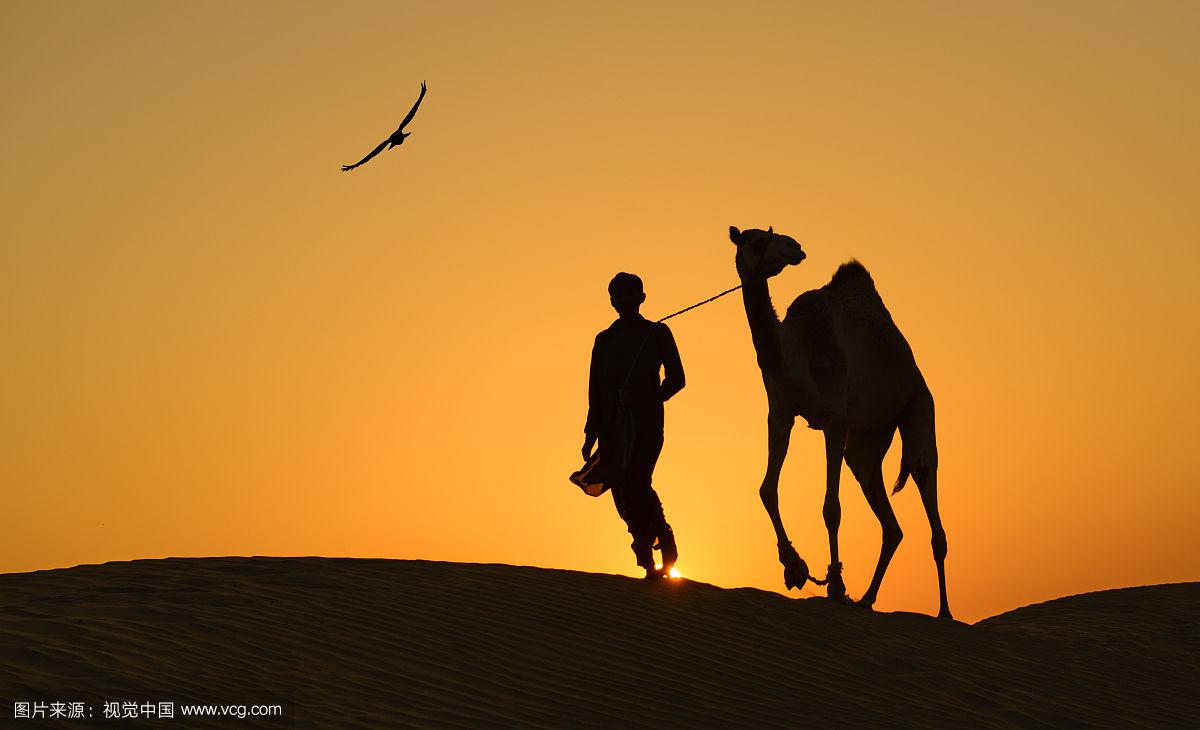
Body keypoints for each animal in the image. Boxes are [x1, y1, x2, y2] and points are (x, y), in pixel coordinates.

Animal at [724, 225, 950, 619]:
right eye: (756, 241)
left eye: (771, 234)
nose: (795, 247)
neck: (797, 354)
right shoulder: (780, 414)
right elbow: (767, 489)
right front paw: (794, 567)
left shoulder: (835, 420)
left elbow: (831, 508)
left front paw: (835, 585)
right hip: (869, 438)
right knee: (888, 519)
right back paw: (867, 599)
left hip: (919, 404)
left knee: (926, 479)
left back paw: (945, 613)